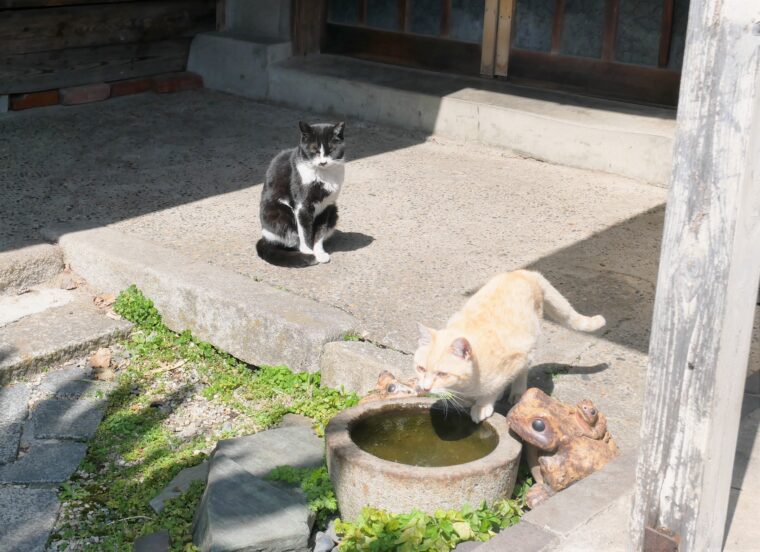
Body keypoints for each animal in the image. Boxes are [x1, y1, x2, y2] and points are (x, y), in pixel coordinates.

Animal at [258, 121, 348, 268]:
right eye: (314, 149)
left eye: (331, 150)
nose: (323, 162)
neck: (323, 176)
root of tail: (265, 238)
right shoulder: (302, 206)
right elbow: (305, 232)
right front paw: (309, 252)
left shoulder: (326, 206)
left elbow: (320, 231)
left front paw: (319, 252)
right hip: (281, 213)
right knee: (292, 239)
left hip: (334, 211)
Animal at [416, 270, 604, 422]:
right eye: (420, 369)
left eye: (442, 374)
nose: (425, 387)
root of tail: (525, 272)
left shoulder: (514, 360)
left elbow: (493, 389)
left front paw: (483, 405)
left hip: (530, 344)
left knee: (522, 373)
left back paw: (516, 393)